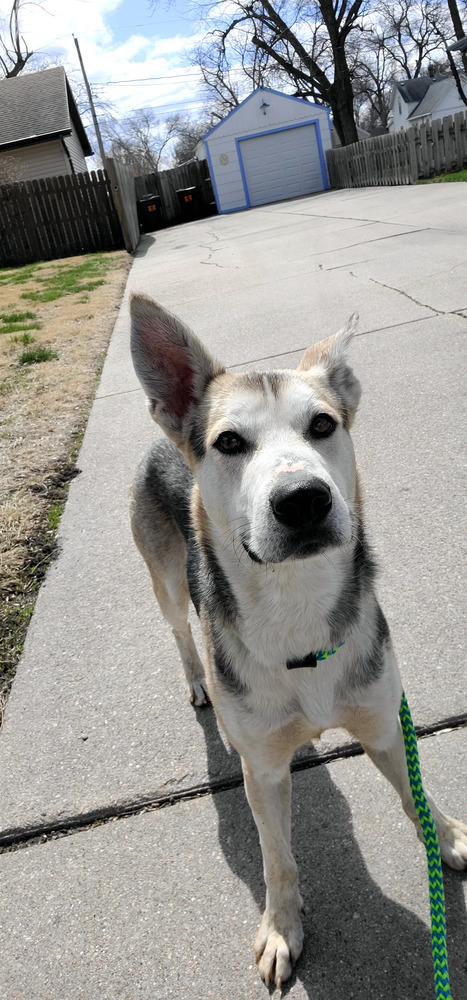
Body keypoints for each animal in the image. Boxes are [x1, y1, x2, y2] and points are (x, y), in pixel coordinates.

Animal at [129, 292, 467, 988]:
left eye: (323, 425)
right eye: (229, 441)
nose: (303, 499)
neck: (298, 607)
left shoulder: (384, 722)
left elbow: (416, 796)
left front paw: (446, 837)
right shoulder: (261, 770)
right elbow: (276, 858)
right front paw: (282, 928)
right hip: (166, 582)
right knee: (181, 631)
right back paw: (199, 680)